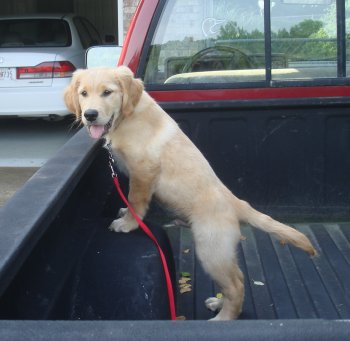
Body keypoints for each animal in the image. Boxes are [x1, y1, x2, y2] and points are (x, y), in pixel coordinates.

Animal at [63, 65, 318, 320]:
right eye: (83, 93)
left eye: (107, 92)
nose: (90, 115)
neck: (127, 117)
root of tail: (237, 203)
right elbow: (131, 201)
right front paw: (126, 213)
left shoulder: (144, 169)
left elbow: (136, 199)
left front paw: (128, 224)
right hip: (221, 251)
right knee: (237, 278)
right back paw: (219, 304)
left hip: (211, 248)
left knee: (235, 285)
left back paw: (223, 318)